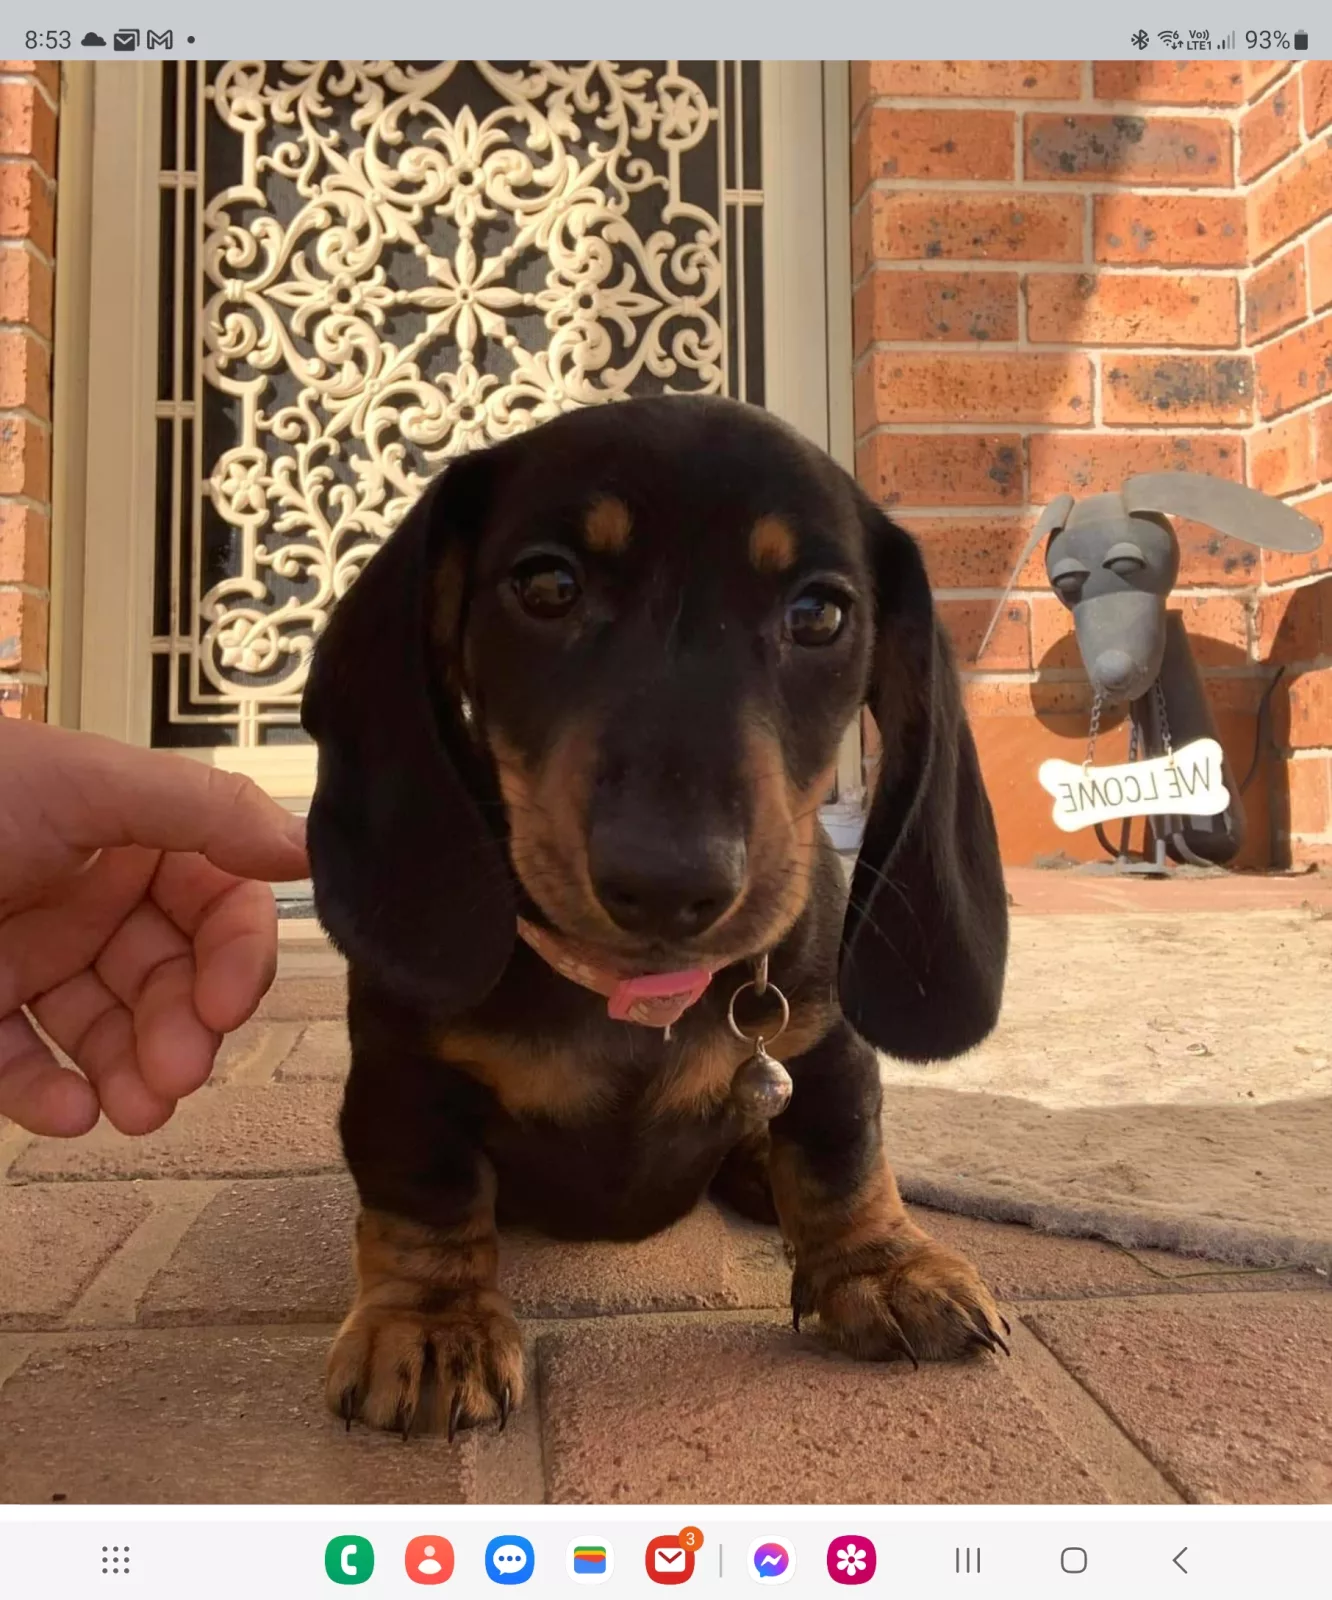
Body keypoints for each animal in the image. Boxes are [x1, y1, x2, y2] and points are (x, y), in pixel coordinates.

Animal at [301, 394, 1010, 1438]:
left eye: (820, 613)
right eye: (546, 584)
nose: (670, 880)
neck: (634, 994)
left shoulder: (826, 1045)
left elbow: (844, 1157)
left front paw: (884, 1269)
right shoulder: (402, 1073)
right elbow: (425, 1194)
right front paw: (430, 1325)